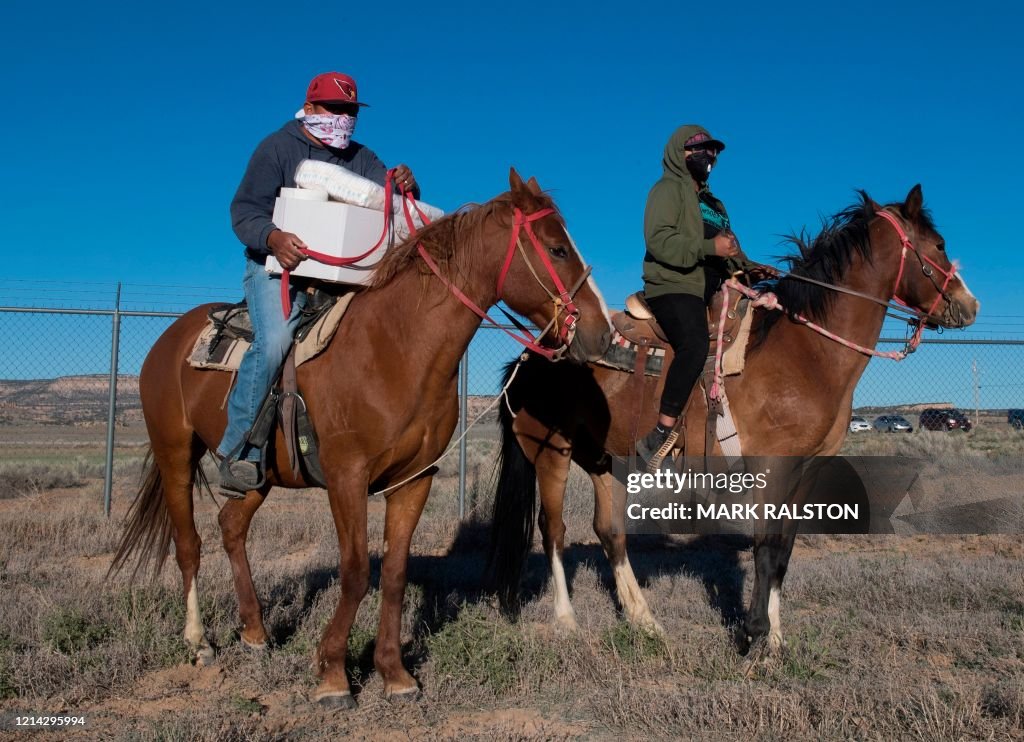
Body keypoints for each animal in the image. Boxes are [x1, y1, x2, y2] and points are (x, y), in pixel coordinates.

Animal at [109, 168, 610, 708]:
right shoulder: (347, 476)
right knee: (188, 543)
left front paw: (394, 672)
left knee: (231, 526)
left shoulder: (414, 479)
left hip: (259, 473)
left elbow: (393, 572)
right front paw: (332, 673)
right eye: (557, 248)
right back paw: (200, 642)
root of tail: (169, 339)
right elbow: (354, 572)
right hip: (175, 452)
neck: (397, 346)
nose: (602, 332)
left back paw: (256, 632)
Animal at [491, 186, 978, 655]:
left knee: (610, 533)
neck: (806, 353)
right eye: (938, 244)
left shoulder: (806, 472)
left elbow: (783, 551)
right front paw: (755, 635)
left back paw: (645, 622)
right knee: (553, 531)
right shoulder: (771, 467)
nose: (969, 305)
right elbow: (765, 549)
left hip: (603, 460)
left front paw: (776, 638)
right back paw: (567, 621)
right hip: (550, 455)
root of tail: (528, 360)